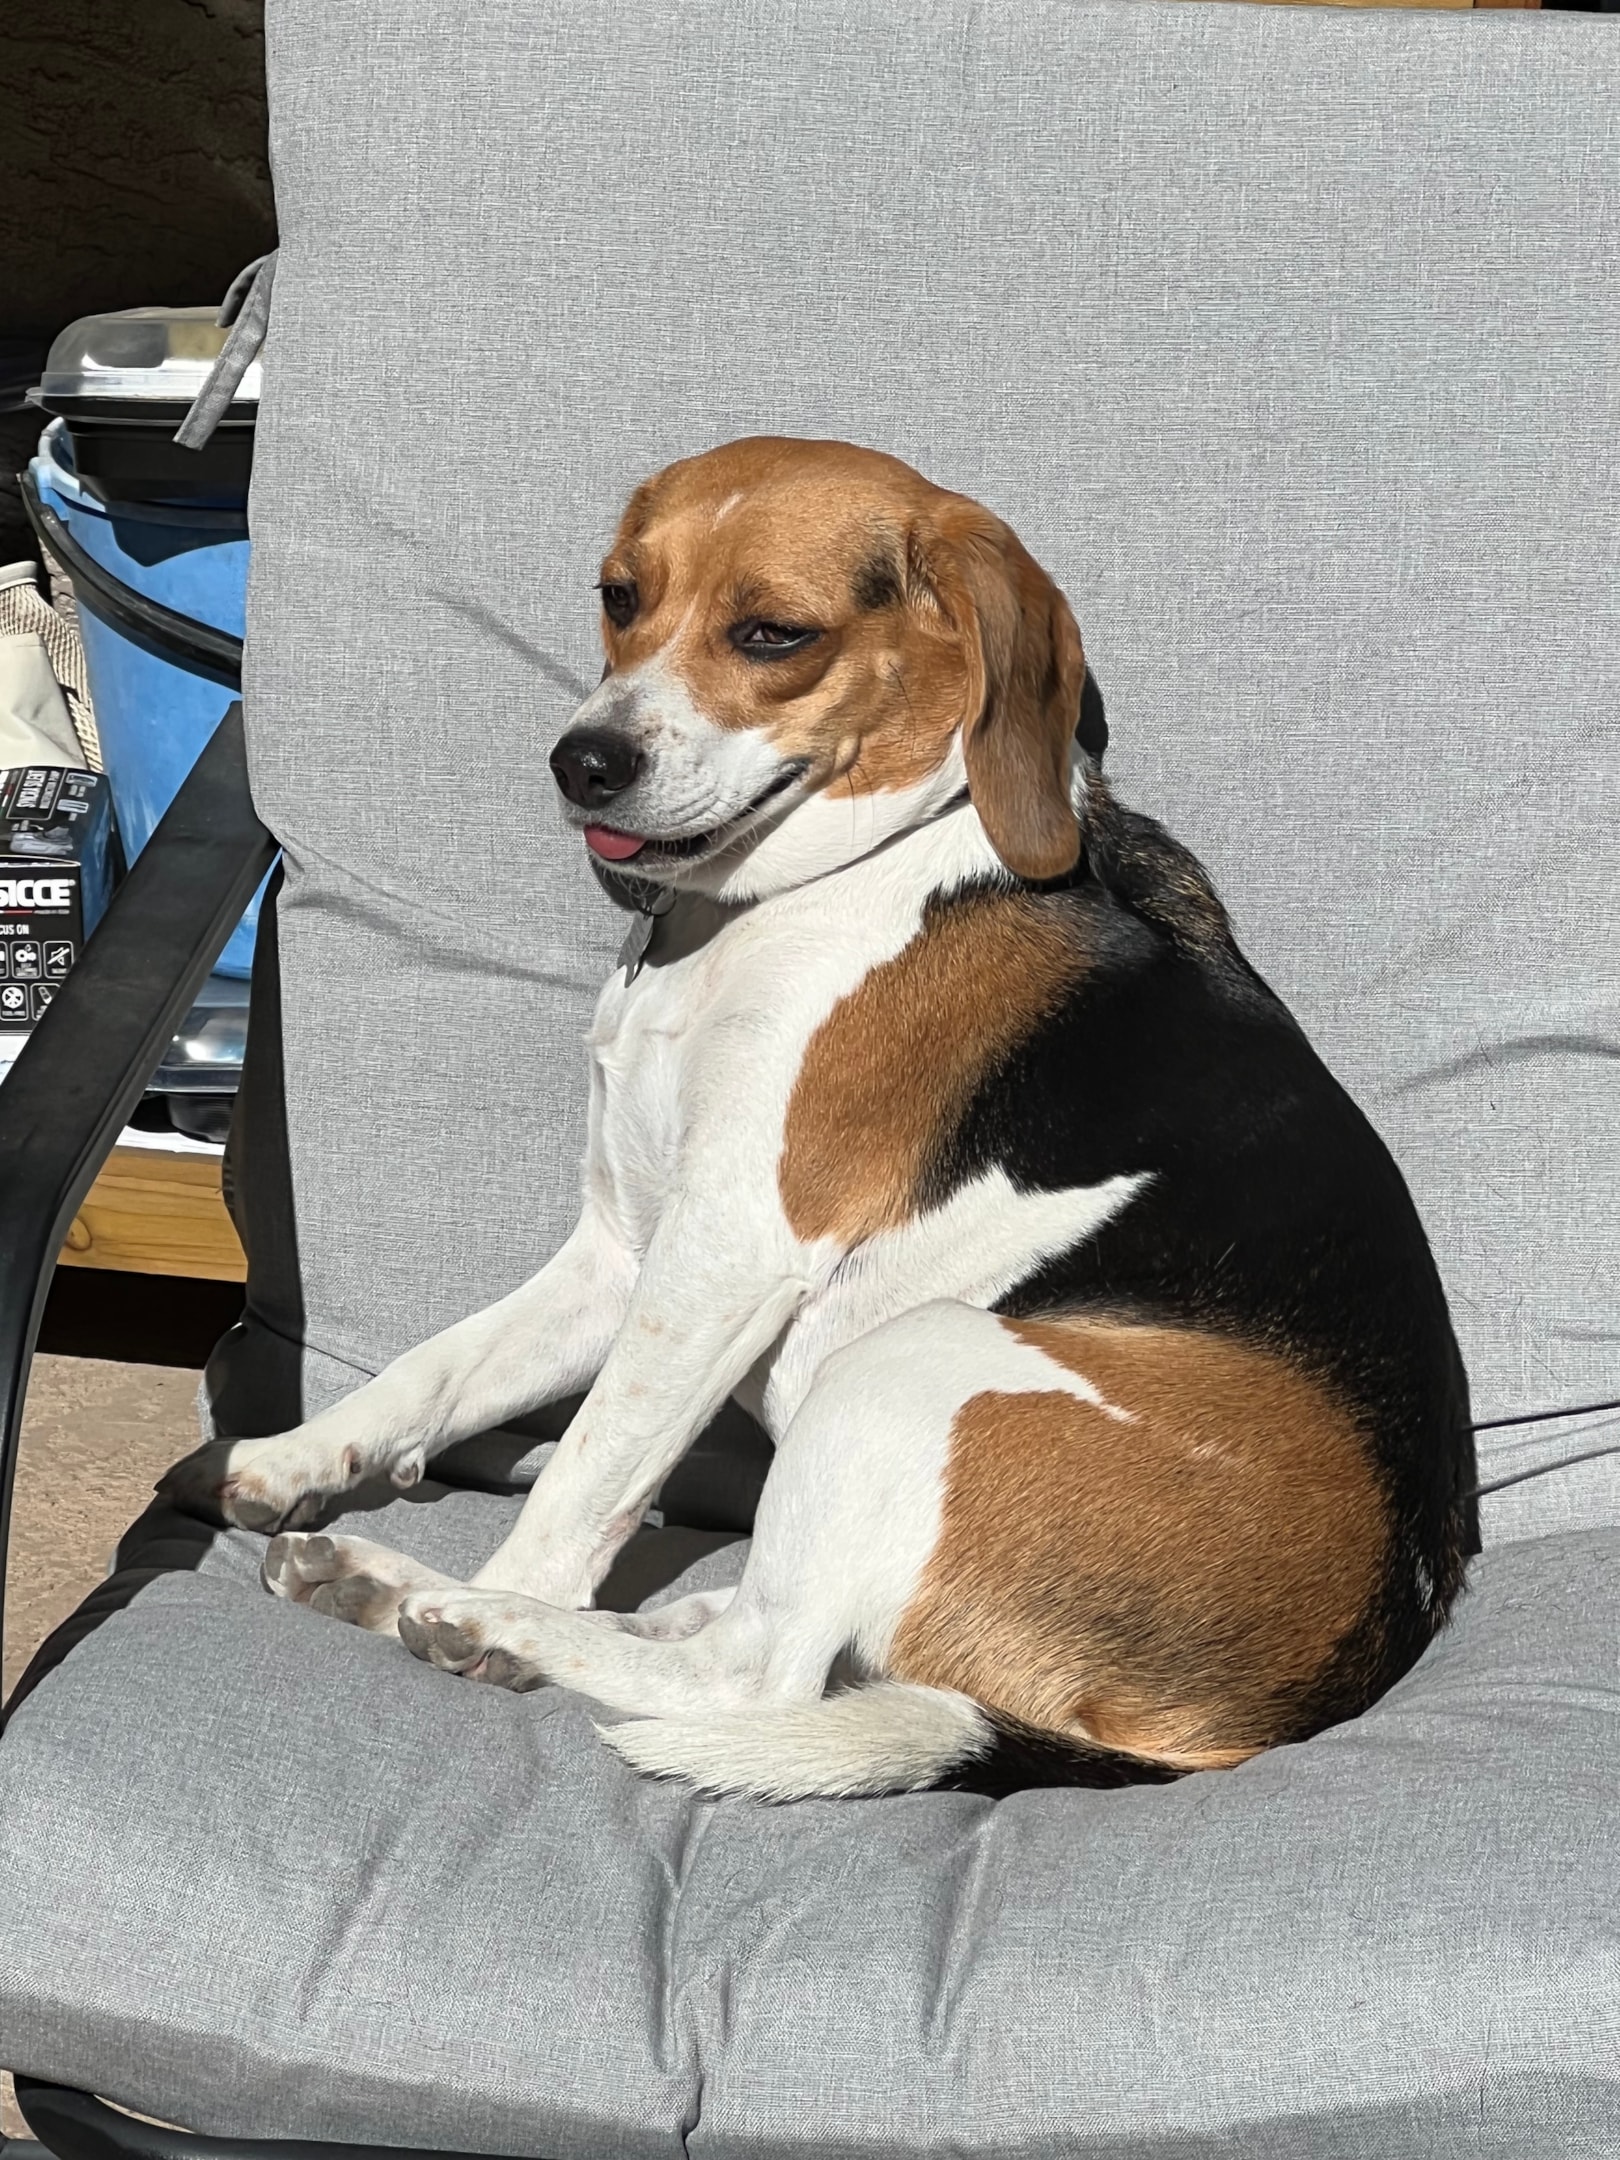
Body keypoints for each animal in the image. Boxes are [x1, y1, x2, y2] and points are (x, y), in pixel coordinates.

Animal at [162, 429, 1468, 1797]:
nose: (583, 761)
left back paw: (479, 1615)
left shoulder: (726, 1249)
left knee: (754, 1671)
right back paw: (390, 1575)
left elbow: (587, 1468)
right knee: (764, 1634)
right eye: (619, 596)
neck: (770, 904)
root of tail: (1299, 1698)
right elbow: (437, 1368)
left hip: (913, 1364)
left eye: (774, 635)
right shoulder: (623, 1250)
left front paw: (504, 1585)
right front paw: (292, 1458)